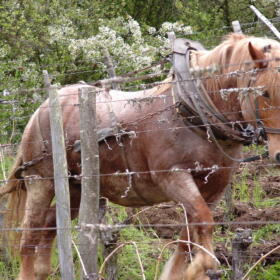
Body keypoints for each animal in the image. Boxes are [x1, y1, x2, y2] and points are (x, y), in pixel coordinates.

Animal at [1, 33, 280, 280]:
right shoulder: (172, 176)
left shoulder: (216, 185)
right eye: (264, 92)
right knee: (30, 234)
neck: (193, 113)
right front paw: (202, 267)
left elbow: (189, 231)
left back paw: (42, 271)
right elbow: (202, 221)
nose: (278, 155)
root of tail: (40, 109)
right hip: (41, 181)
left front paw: (182, 272)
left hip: (76, 188)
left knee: (50, 224)